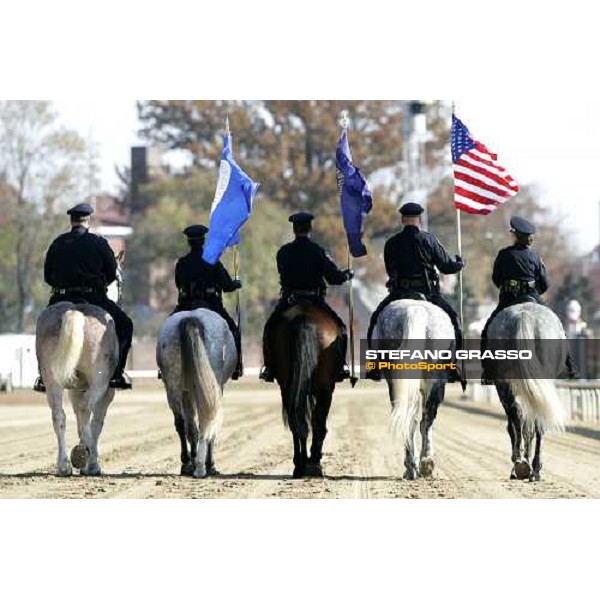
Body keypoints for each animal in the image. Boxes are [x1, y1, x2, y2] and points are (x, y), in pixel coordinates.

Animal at [156, 310, 236, 478]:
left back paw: (189, 464)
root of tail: (191, 318)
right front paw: (210, 465)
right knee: (204, 423)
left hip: (174, 386)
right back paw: (202, 466)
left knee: (183, 424)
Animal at [266, 300, 344, 478]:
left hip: (289, 388)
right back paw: (312, 463)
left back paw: (302, 465)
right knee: (317, 423)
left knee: (298, 422)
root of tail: (304, 319)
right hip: (324, 388)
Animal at [372, 298, 452, 478]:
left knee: (413, 420)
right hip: (433, 382)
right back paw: (422, 464)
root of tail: (415, 310)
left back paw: (416, 466)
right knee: (423, 421)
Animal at [488, 302, 568, 480]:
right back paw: (533, 467)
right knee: (533, 420)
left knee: (518, 417)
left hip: (506, 384)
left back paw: (522, 463)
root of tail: (524, 317)